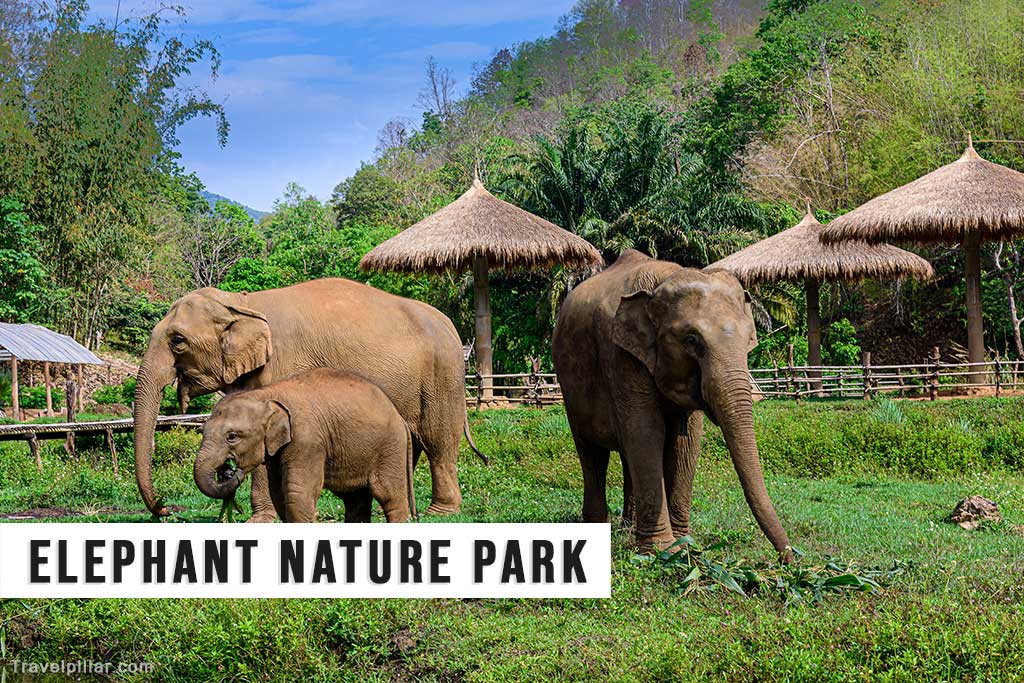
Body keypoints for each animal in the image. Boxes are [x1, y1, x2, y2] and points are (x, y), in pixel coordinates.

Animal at [194, 369, 416, 523]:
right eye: (202, 431)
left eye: (232, 436)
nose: (230, 471)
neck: (267, 394)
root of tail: (400, 417)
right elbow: (278, 492)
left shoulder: (307, 440)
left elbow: (298, 493)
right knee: (355, 499)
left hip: (390, 447)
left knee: (389, 495)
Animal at [551, 250, 792, 558]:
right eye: (691, 340)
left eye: (749, 340)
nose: (789, 557)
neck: (663, 279)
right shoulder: (620, 355)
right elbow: (646, 431)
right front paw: (661, 551)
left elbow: (685, 441)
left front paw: (684, 546)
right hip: (571, 391)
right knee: (592, 454)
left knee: (626, 454)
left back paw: (628, 529)